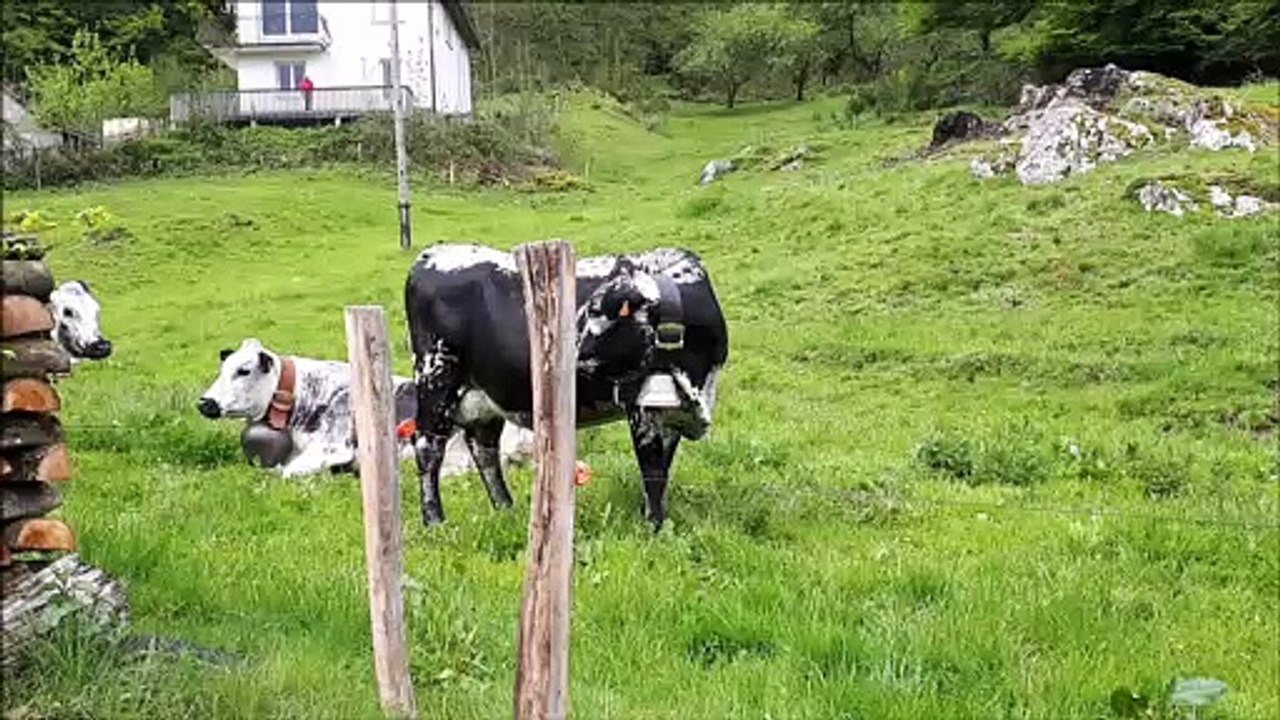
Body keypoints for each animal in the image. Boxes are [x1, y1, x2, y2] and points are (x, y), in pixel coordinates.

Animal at [404, 242, 728, 531]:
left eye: (598, 311)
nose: (566, 350)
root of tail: (429, 255)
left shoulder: (674, 413)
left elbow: (664, 468)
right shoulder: (641, 409)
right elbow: (652, 472)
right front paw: (654, 527)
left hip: (483, 397)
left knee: (484, 448)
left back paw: (506, 510)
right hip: (435, 375)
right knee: (428, 447)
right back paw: (435, 522)